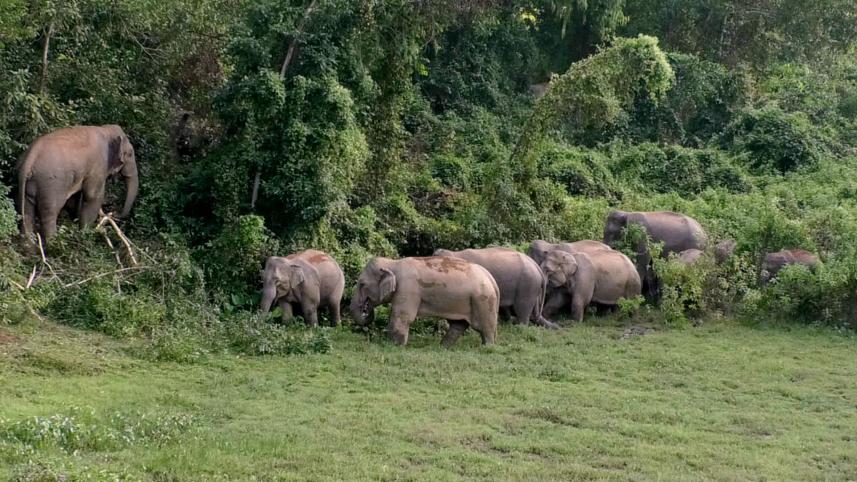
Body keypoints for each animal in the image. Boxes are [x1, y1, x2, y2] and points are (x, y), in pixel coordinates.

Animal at [350, 256, 499, 347]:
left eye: (362, 284)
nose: (365, 308)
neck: (393, 263)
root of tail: (491, 278)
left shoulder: (407, 289)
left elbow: (403, 316)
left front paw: (394, 346)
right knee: (458, 325)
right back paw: (442, 347)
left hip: (483, 300)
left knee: (484, 327)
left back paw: (487, 347)